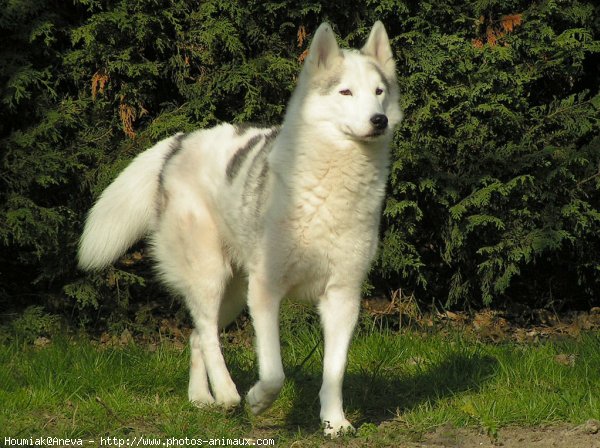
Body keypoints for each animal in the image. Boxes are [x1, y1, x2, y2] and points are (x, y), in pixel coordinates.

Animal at [78, 21, 398, 438]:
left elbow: (335, 370)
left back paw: (202, 398)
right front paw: (258, 400)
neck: (330, 186)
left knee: (199, 334)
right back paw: (227, 393)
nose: (380, 120)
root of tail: (177, 143)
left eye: (379, 93)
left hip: (231, 293)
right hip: (211, 277)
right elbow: (274, 372)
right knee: (206, 333)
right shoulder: (265, 291)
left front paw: (334, 422)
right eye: (346, 92)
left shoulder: (343, 297)